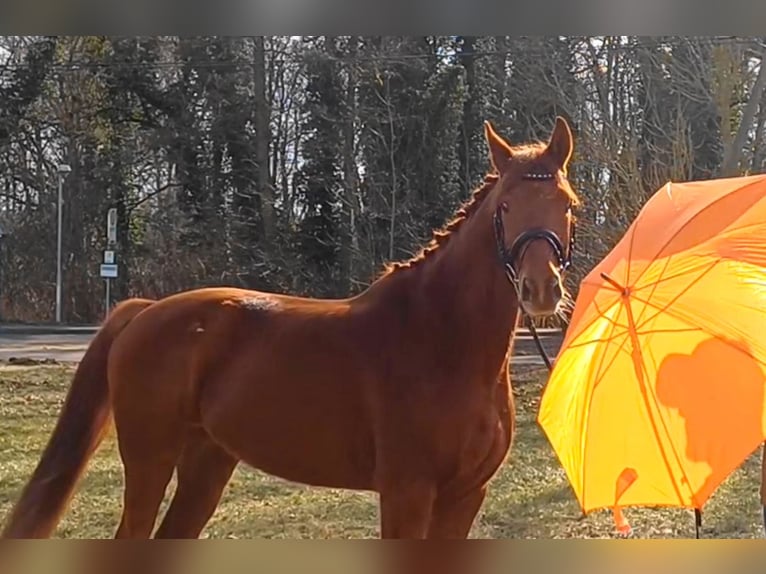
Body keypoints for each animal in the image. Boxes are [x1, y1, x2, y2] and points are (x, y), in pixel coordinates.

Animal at [1, 116, 580, 539]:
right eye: (505, 206)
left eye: (568, 204)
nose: (541, 290)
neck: (444, 342)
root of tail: (144, 311)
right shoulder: (407, 492)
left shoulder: (465, 496)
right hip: (149, 458)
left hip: (208, 462)